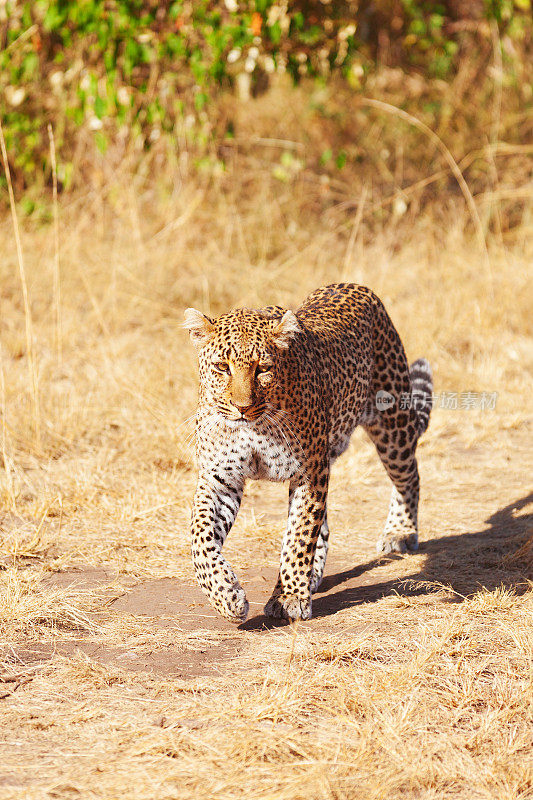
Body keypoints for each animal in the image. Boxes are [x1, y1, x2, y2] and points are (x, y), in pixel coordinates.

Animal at [183, 282, 432, 624]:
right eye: (222, 367)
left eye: (263, 369)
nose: (241, 407)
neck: (255, 426)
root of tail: (355, 285)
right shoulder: (219, 477)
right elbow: (200, 536)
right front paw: (225, 596)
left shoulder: (309, 472)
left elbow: (299, 533)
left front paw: (289, 596)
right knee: (323, 524)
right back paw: (312, 575)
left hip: (392, 424)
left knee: (410, 476)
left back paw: (400, 532)